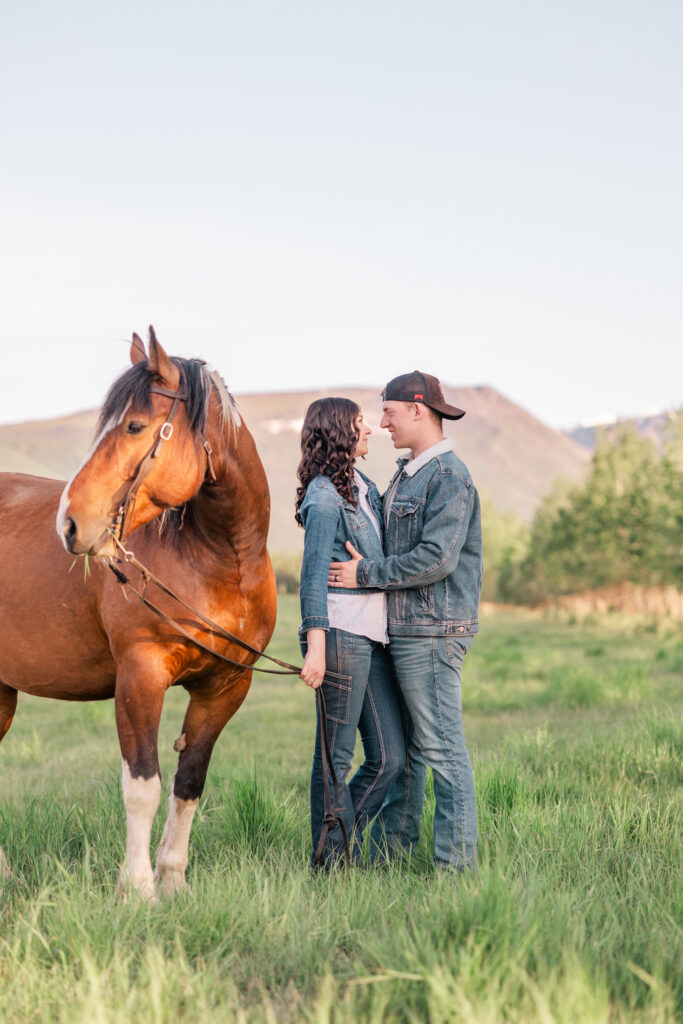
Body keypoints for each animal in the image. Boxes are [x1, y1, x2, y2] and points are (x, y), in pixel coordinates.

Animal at [0, 328, 277, 899]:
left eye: (134, 425)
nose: (70, 523)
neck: (219, 564)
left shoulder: (225, 687)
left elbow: (188, 783)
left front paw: (173, 882)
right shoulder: (140, 676)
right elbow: (142, 784)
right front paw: (138, 889)